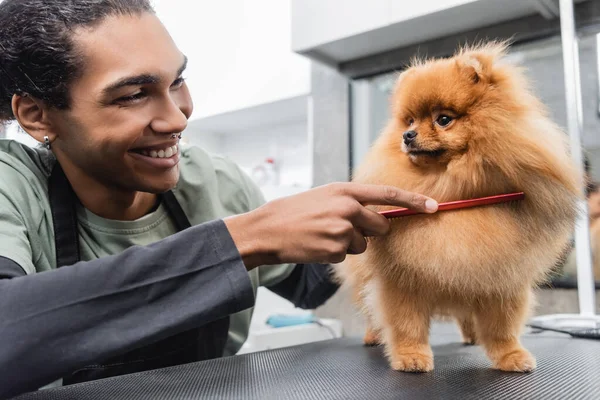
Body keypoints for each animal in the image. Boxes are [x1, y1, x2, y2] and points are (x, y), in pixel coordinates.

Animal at [332, 42, 580, 374]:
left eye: (443, 119)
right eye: (410, 121)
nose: (407, 136)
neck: (449, 186)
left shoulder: (503, 276)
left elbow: (502, 326)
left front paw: (510, 355)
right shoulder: (401, 279)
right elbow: (406, 323)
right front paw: (411, 356)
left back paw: (473, 335)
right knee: (371, 312)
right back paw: (374, 336)